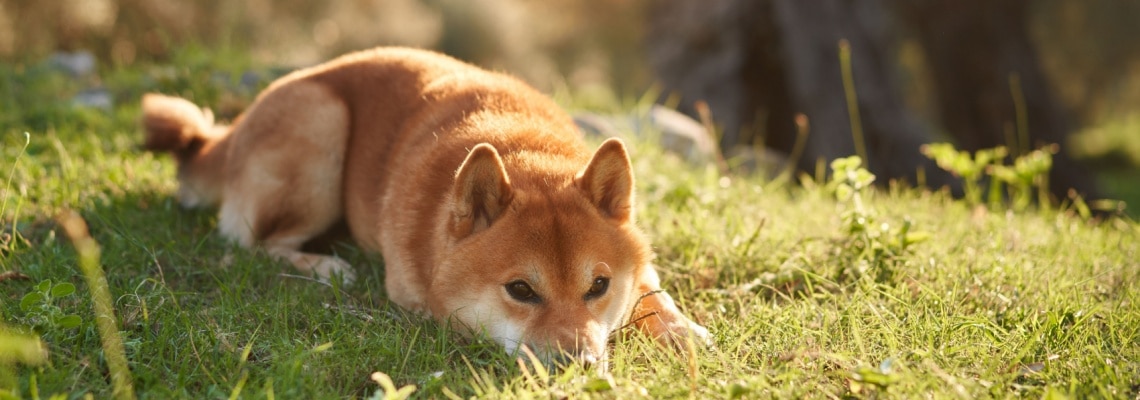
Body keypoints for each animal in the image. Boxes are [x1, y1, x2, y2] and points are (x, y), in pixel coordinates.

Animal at [139, 47, 706, 364]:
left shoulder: (639, 261)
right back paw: (324, 266)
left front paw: (683, 331)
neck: (523, 150)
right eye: (521, 291)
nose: (580, 365)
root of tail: (233, 128)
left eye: (599, 287)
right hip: (321, 126)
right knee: (252, 242)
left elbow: (652, 293)